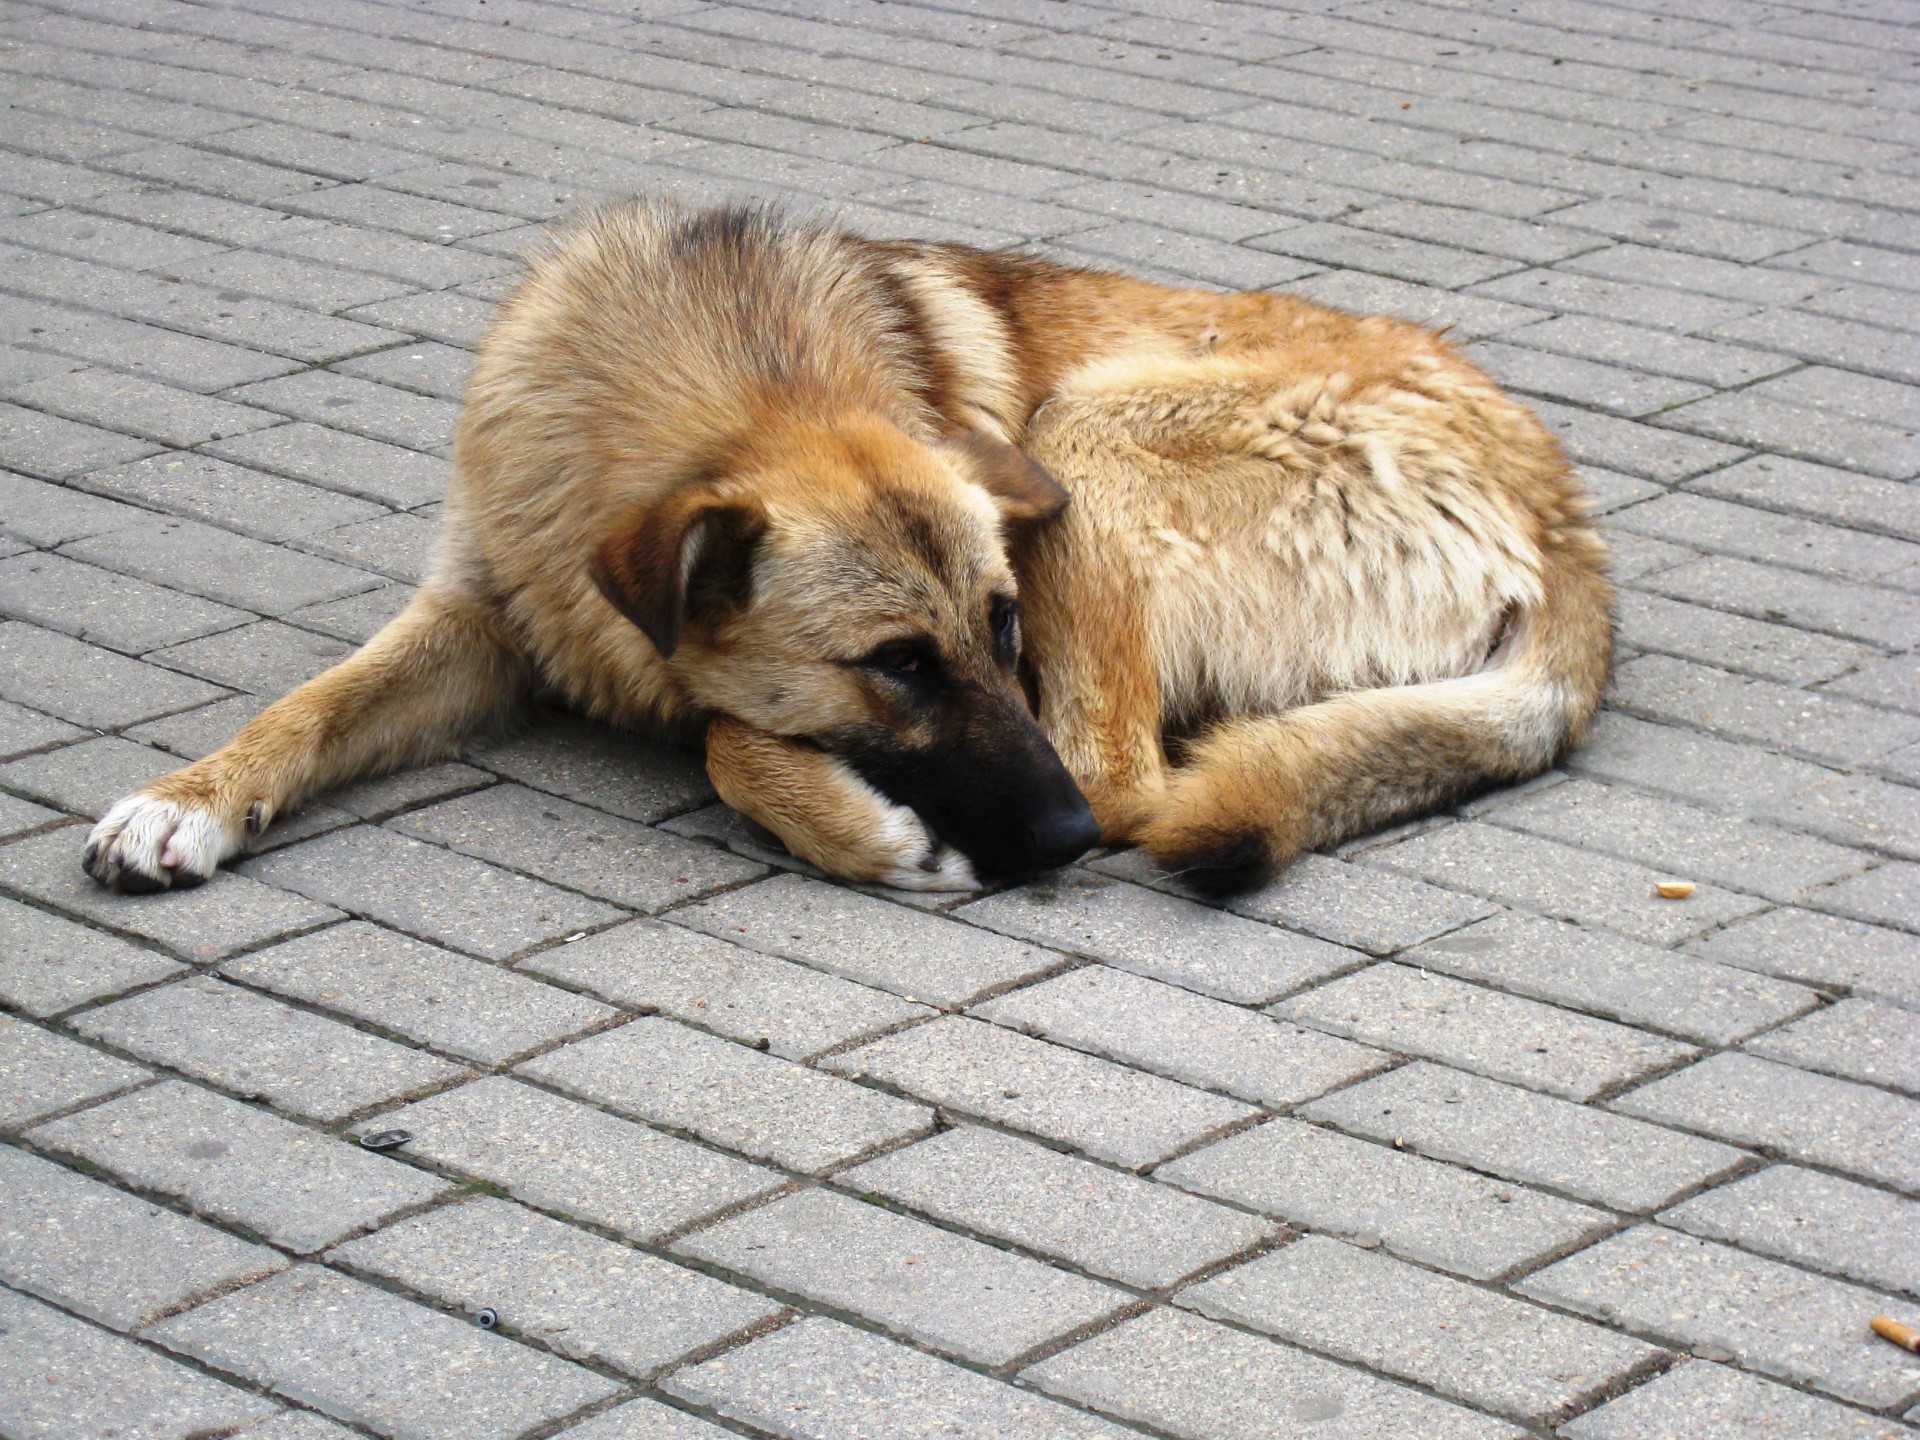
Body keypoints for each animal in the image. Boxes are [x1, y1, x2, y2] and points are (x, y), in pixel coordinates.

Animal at [86, 200, 1620, 902]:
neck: (723, 372)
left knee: (1127, 777)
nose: (1053, 848)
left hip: (1084, 437)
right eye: (895, 664)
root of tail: (1567, 533)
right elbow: (309, 705)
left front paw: (864, 826)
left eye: (1001, 629)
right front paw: (189, 798)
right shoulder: (476, 613)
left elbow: (722, 733)